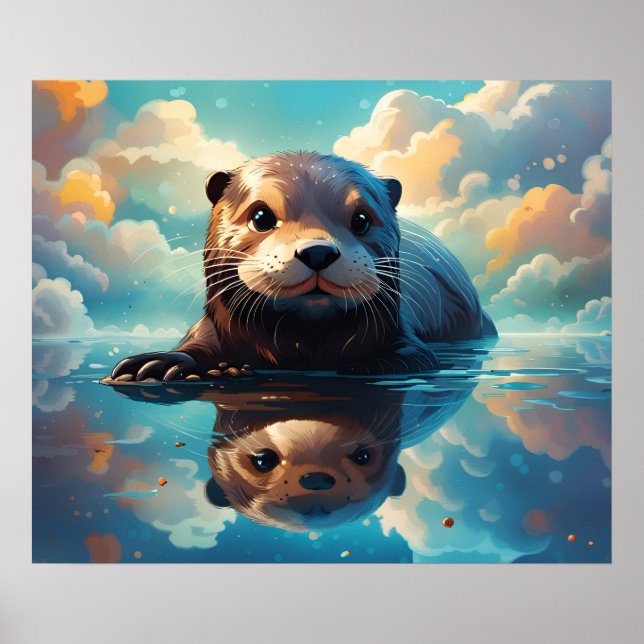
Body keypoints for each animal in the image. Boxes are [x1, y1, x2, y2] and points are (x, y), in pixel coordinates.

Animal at [110, 151, 495, 381]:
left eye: (361, 220)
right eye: (261, 216)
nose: (318, 252)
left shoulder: (399, 329)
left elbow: (416, 356)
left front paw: (368, 364)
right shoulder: (214, 326)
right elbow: (193, 347)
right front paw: (159, 363)